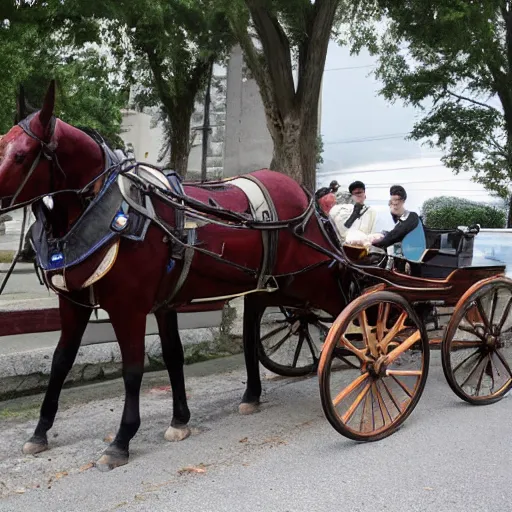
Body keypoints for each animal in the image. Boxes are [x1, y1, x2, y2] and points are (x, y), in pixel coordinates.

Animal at [0, 82, 348, 470]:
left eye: (21, 155)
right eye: (2, 144)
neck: (112, 209)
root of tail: (306, 197)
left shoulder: (129, 308)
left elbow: (133, 368)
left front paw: (121, 439)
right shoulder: (83, 303)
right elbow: (67, 362)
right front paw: (40, 432)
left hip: (313, 279)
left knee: (348, 312)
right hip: (263, 286)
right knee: (252, 334)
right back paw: (252, 395)